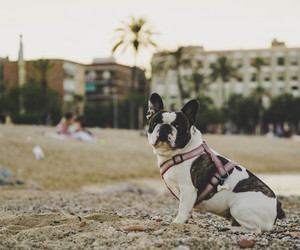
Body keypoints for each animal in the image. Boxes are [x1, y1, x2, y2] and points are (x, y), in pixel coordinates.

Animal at [146, 93, 284, 232]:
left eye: (178, 126)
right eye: (155, 122)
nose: (165, 127)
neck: (179, 152)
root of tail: (277, 207)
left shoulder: (188, 188)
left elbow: (183, 208)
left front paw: (178, 222)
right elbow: (188, 210)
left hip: (238, 207)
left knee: (255, 230)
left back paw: (233, 230)